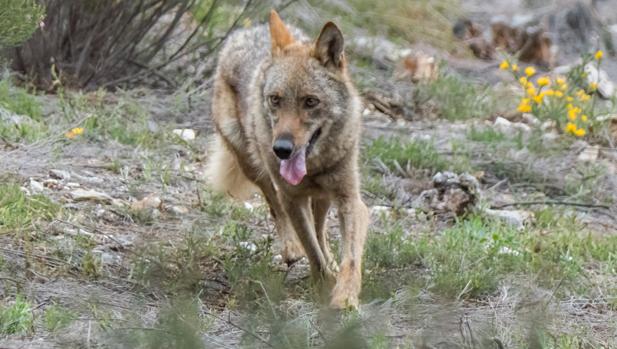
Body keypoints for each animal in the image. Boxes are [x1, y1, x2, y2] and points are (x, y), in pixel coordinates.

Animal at [205, 8, 368, 308]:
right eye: (275, 99)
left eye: (310, 101)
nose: (280, 149)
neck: (314, 166)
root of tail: (247, 31)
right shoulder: (292, 198)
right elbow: (312, 251)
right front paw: (323, 284)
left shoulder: (350, 200)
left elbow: (349, 258)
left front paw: (344, 298)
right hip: (254, 166)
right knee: (275, 206)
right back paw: (292, 249)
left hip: (323, 197)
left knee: (320, 228)